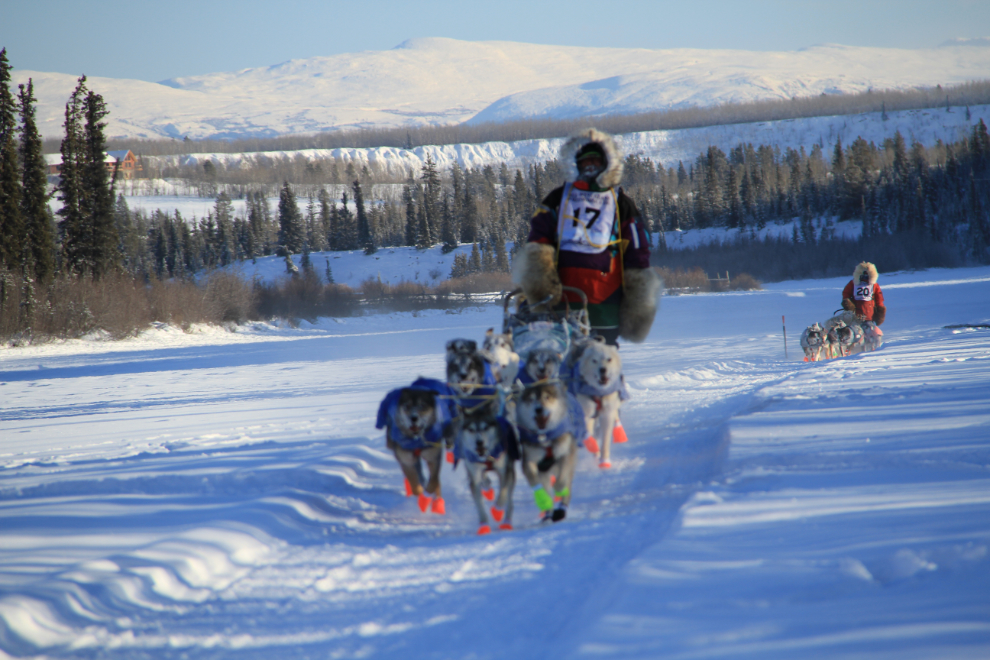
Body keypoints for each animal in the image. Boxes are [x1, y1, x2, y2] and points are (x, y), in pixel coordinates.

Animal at [456, 400, 524, 532]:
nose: (479, 442)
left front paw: (497, 512)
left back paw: (506, 521)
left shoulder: (504, 471)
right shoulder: (474, 474)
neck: (486, 456)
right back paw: (488, 489)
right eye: (471, 429)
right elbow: (479, 503)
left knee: (509, 499)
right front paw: (483, 524)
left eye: (485, 427)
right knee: (485, 481)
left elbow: (503, 493)